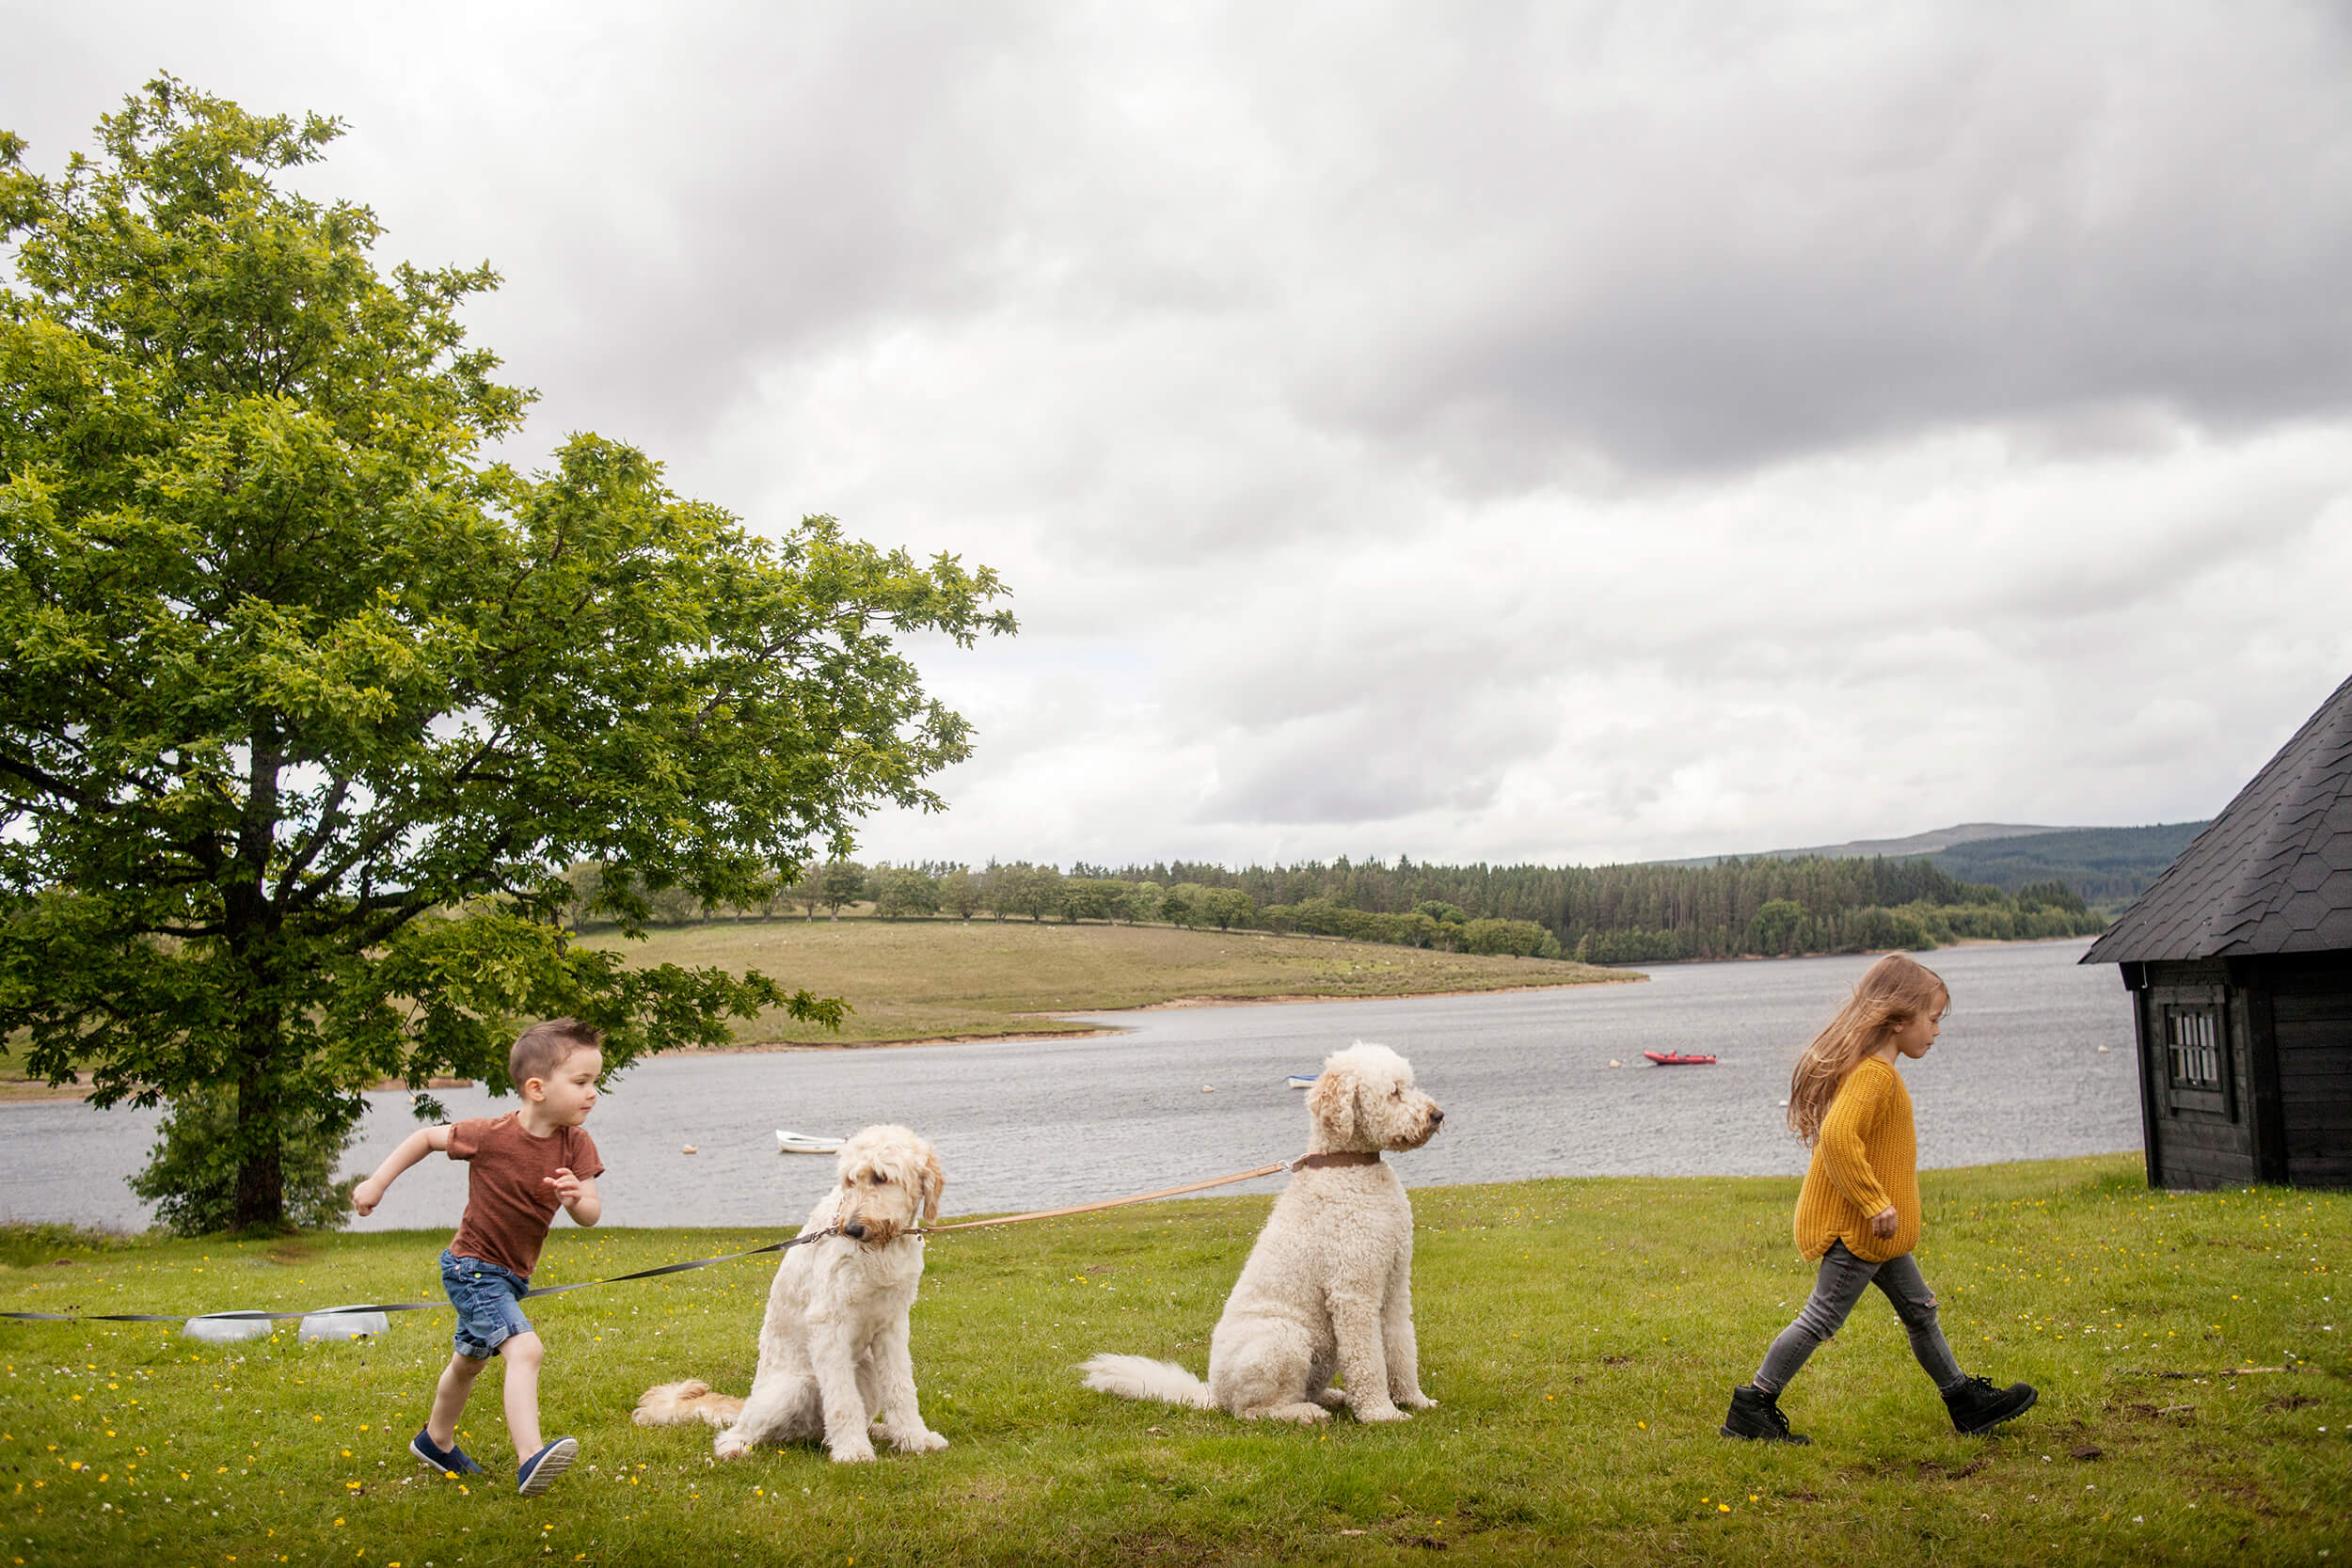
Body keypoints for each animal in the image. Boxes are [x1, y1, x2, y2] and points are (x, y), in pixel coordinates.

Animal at [635, 1123, 955, 1466]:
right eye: (850, 1181)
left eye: (881, 1177)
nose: (852, 1229)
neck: (881, 1250)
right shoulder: (829, 1323)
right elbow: (842, 1398)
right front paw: (853, 1451)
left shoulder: (892, 1324)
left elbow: (901, 1387)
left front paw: (915, 1439)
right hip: (792, 1387)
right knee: (738, 1431)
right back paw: (737, 1446)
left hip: (865, 1373)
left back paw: (877, 1432)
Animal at [1087, 1043, 1449, 1419]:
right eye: (1394, 1092)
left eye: (1408, 1084)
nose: (1438, 1115)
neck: (1348, 1166)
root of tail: (1215, 1394)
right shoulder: (1353, 1292)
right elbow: (1369, 1362)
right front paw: (1381, 1413)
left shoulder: (1395, 1284)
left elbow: (1401, 1347)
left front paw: (1414, 1399)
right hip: (1285, 1338)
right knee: (1255, 1411)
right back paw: (1303, 1414)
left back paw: (1332, 1397)